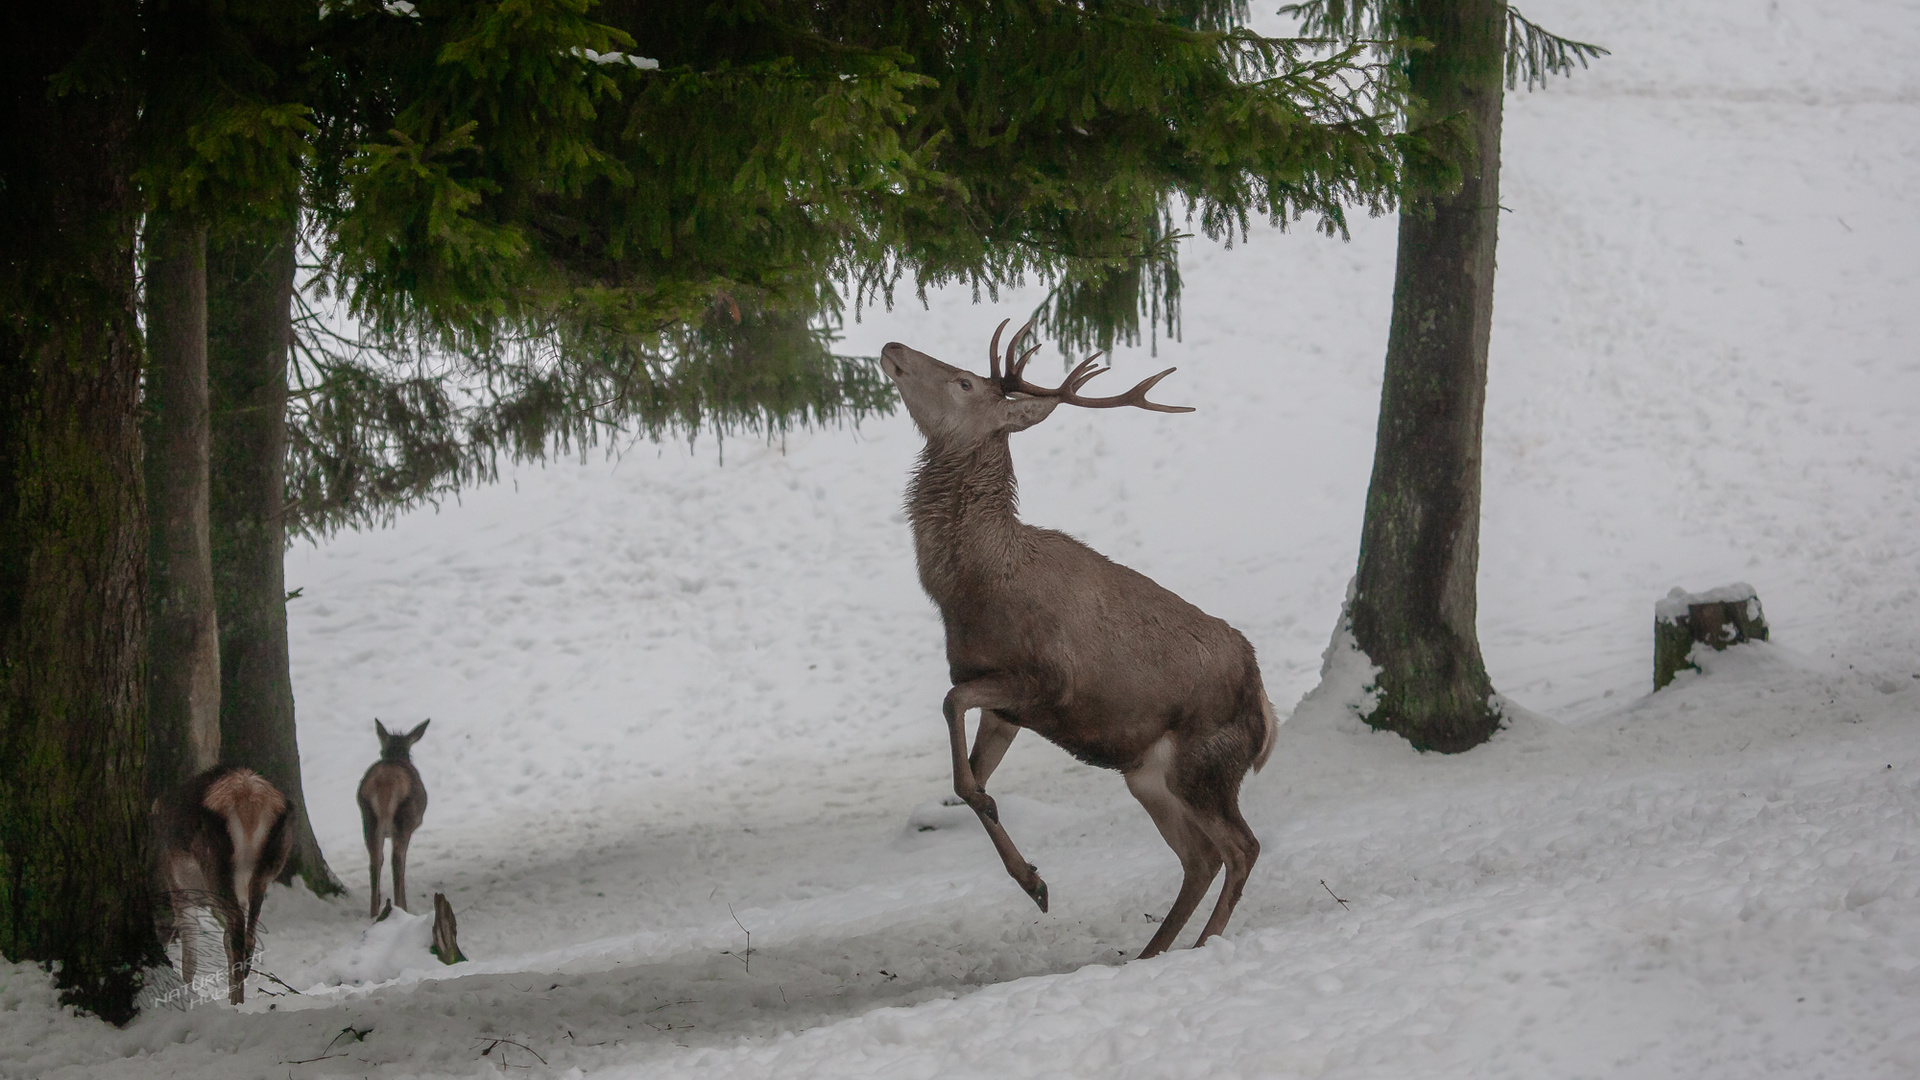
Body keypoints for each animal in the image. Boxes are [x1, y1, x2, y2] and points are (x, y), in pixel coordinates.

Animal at [153, 764, 289, 999]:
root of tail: (248, 802)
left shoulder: (180, 890)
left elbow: (190, 957)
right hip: (266, 869)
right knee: (247, 937)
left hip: (214, 864)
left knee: (237, 931)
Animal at [360, 714, 432, 914]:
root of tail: (385, 783)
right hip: (403, 820)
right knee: (397, 861)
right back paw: (401, 908)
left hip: (368, 818)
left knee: (375, 861)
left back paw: (374, 912)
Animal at [879, 319, 1274, 957]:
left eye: (963, 382)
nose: (892, 347)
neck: (972, 588)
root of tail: (1266, 709)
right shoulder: (1002, 704)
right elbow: (970, 779)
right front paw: (1033, 881)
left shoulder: (1047, 679)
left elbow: (951, 710)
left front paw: (1033, 879)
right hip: (1149, 775)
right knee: (1200, 857)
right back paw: (1148, 953)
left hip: (1208, 762)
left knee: (1242, 847)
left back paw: (1201, 947)